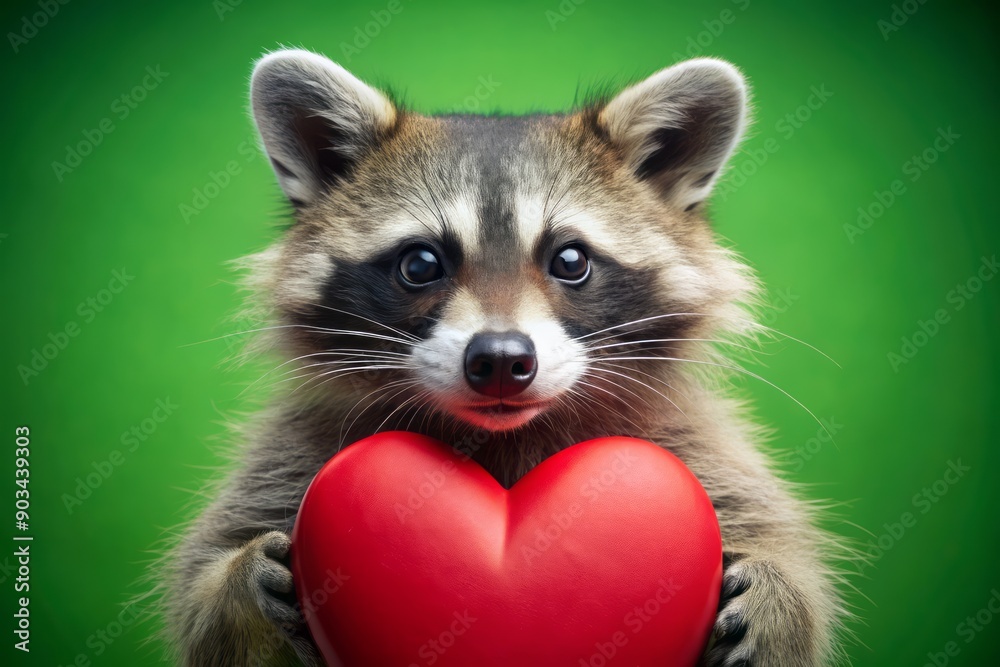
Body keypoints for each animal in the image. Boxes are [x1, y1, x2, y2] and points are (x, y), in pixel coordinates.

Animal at [163, 49, 845, 666]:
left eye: (570, 260)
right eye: (420, 264)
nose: (498, 359)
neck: (500, 437)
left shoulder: (698, 448)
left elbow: (780, 550)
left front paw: (782, 597)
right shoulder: (293, 453)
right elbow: (201, 605)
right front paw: (236, 589)